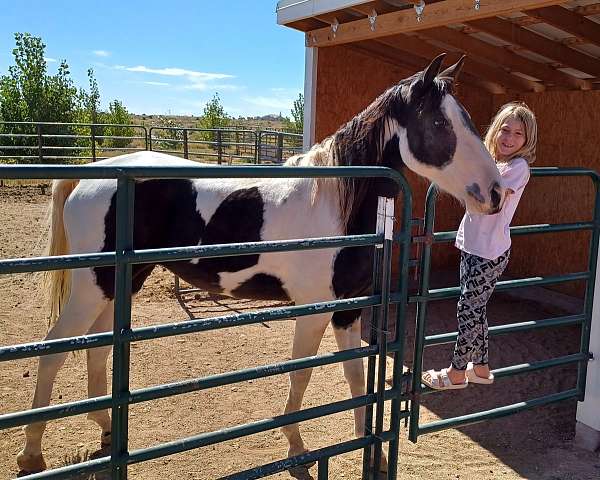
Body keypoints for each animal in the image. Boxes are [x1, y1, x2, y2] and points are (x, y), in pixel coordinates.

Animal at [17, 55, 502, 472]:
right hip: (93, 285)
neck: (333, 202)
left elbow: (355, 377)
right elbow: (302, 374)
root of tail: (93, 174)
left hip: (119, 281)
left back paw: (104, 428)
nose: (497, 192)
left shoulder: (348, 310)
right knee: (53, 349)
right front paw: (296, 446)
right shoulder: (315, 309)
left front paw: (376, 454)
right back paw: (31, 452)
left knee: (96, 346)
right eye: (439, 122)